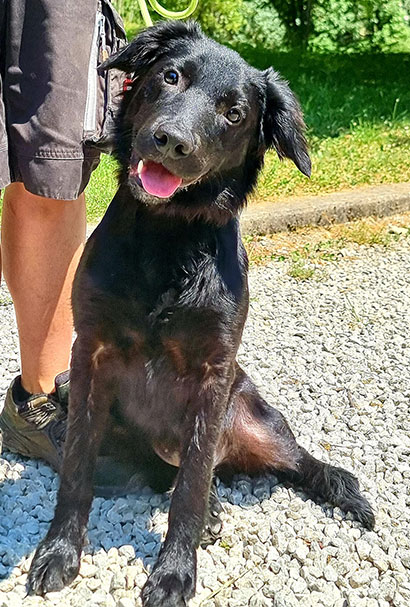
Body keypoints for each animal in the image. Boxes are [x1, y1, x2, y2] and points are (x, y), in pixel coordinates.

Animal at [28, 21, 374, 606]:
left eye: (234, 113)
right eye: (171, 77)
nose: (172, 140)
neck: (168, 240)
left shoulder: (213, 373)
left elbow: (189, 487)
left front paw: (173, 573)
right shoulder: (88, 353)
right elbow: (76, 469)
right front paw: (60, 552)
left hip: (254, 422)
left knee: (286, 461)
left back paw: (343, 491)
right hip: (78, 392)